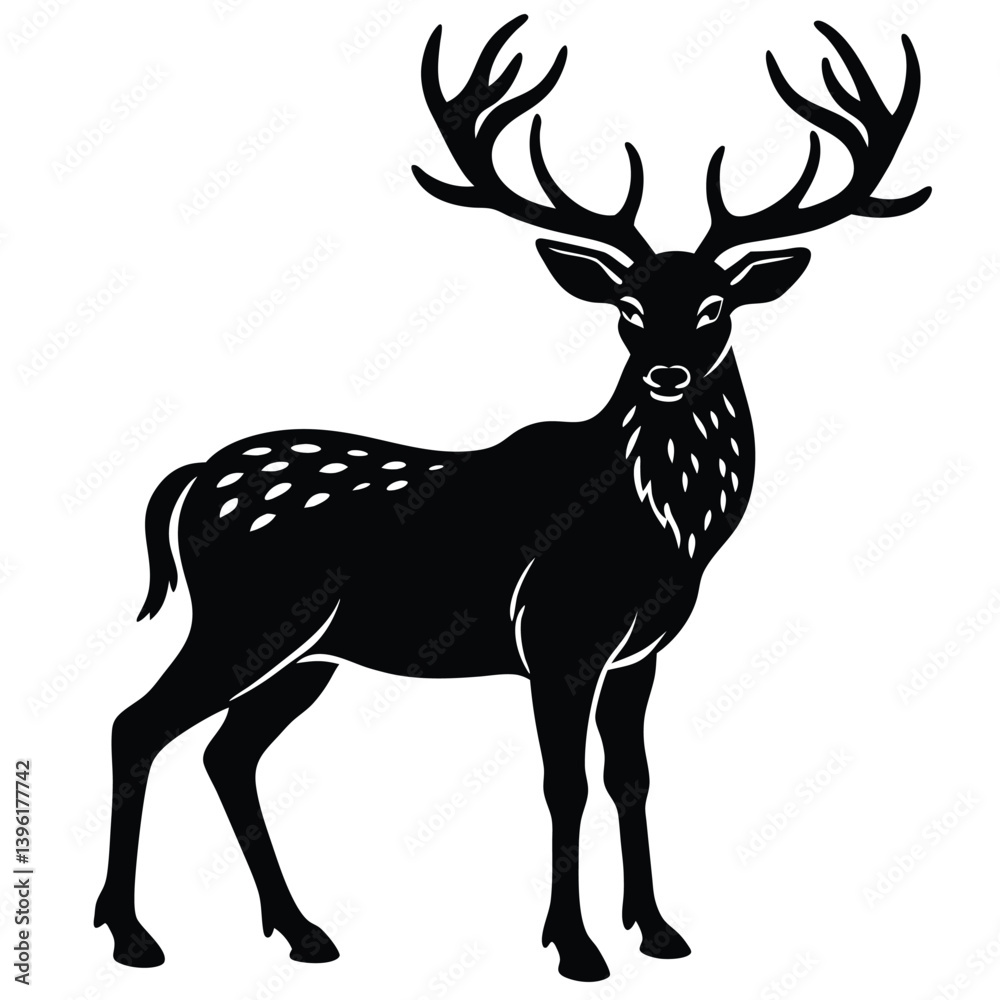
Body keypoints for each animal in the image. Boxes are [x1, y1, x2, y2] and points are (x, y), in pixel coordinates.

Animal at [94, 14, 929, 982]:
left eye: (716, 306)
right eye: (628, 309)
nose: (668, 373)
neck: (664, 528)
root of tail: (192, 478)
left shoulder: (639, 653)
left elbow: (631, 777)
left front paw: (659, 930)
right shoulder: (560, 635)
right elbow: (562, 783)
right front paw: (576, 946)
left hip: (307, 652)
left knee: (228, 753)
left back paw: (302, 932)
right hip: (244, 617)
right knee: (137, 724)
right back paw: (132, 934)